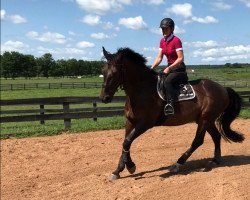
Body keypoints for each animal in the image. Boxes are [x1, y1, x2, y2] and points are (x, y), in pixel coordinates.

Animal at [99, 46, 244, 180]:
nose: (104, 97)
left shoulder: (145, 124)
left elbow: (127, 141)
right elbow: (125, 143)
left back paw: (177, 164)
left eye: (115, 72)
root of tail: (223, 88)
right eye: (103, 71)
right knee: (216, 136)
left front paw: (130, 166)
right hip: (206, 120)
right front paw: (118, 170)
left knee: (198, 141)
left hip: (205, 119)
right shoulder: (130, 122)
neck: (142, 89)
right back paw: (215, 160)